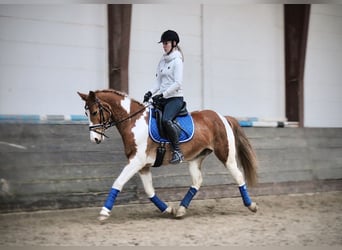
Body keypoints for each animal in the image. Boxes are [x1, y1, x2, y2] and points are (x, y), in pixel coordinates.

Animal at [77, 88, 258, 221]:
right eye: (86, 113)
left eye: (94, 112)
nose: (94, 139)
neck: (133, 122)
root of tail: (222, 117)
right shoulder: (142, 165)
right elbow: (149, 191)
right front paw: (168, 209)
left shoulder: (136, 161)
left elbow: (118, 182)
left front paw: (104, 212)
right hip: (195, 157)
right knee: (197, 181)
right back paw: (181, 209)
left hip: (226, 155)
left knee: (238, 176)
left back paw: (251, 205)